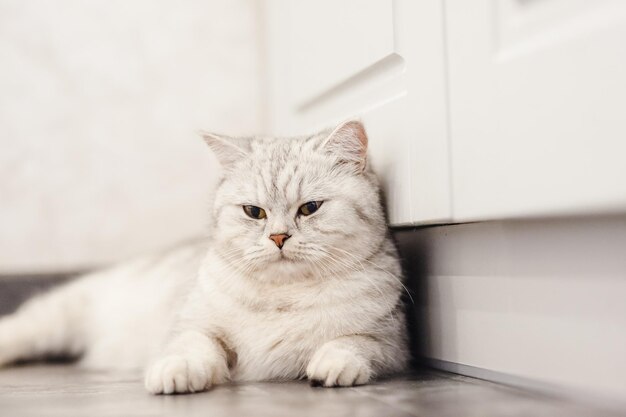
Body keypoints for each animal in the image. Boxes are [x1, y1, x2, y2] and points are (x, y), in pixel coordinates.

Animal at [0, 119, 408, 394]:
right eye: (254, 212)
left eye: (310, 208)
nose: (278, 237)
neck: (281, 297)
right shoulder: (192, 325)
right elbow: (194, 345)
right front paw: (175, 372)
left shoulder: (392, 343)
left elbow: (353, 343)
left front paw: (332, 364)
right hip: (59, 316)